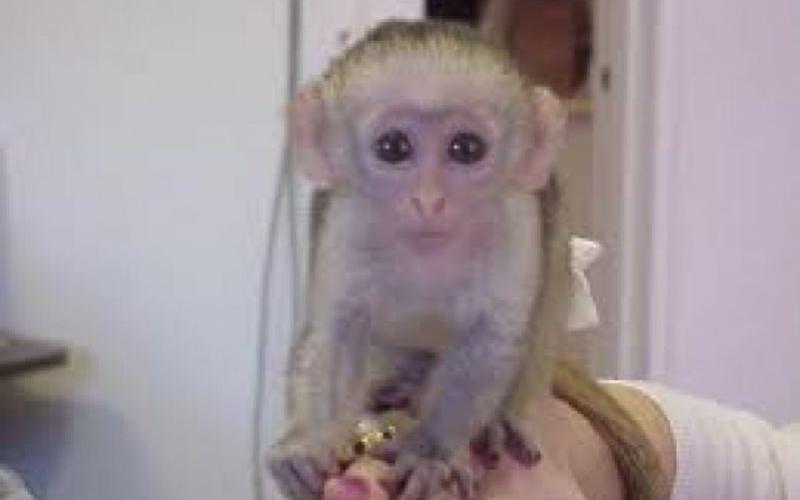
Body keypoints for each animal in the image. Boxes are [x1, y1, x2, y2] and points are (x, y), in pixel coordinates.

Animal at [267, 20, 575, 500]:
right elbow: (335, 334)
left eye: (466, 148)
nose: (429, 202)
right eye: (394, 147)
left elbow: (492, 341)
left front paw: (429, 453)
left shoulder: (517, 222)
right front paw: (309, 443)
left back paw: (500, 420)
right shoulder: (346, 220)